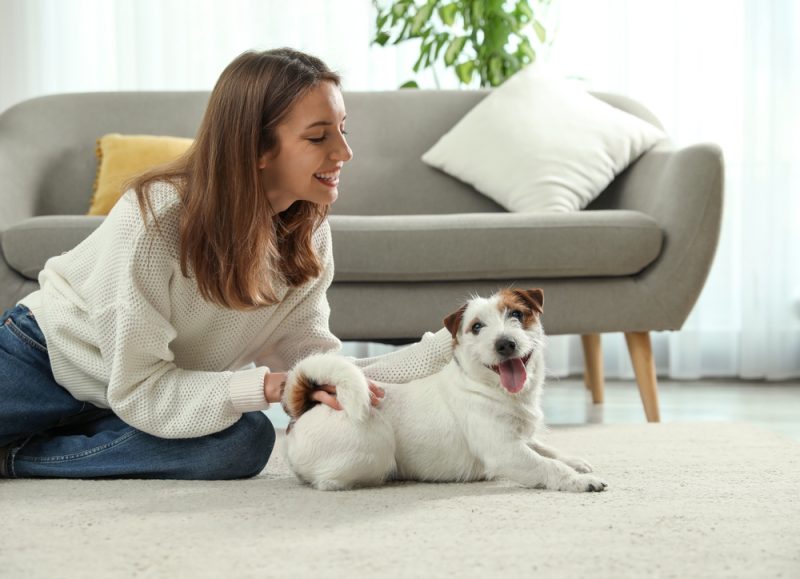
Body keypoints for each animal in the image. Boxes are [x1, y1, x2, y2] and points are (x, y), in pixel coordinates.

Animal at [282, 290, 608, 494]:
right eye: (477, 327)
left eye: (517, 314)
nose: (505, 343)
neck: (490, 388)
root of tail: (307, 410)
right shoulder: (505, 451)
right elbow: (546, 464)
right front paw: (580, 481)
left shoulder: (521, 437)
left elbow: (546, 448)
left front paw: (576, 462)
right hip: (375, 444)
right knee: (326, 481)